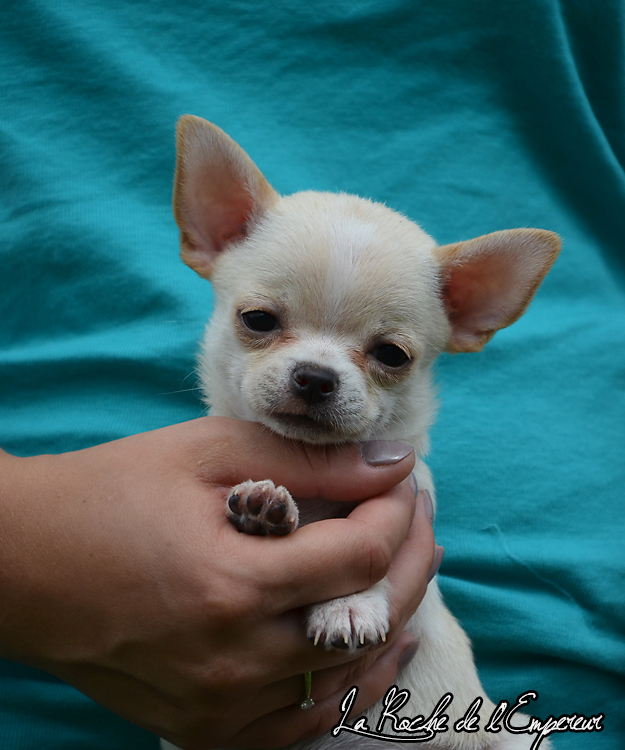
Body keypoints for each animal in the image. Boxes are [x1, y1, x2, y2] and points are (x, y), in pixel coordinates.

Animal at [167, 116, 560, 750]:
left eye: (391, 355)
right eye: (258, 320)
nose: (315, 376)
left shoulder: (405, 501)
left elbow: (367, 552)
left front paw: (348, 605)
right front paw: (260, 507)